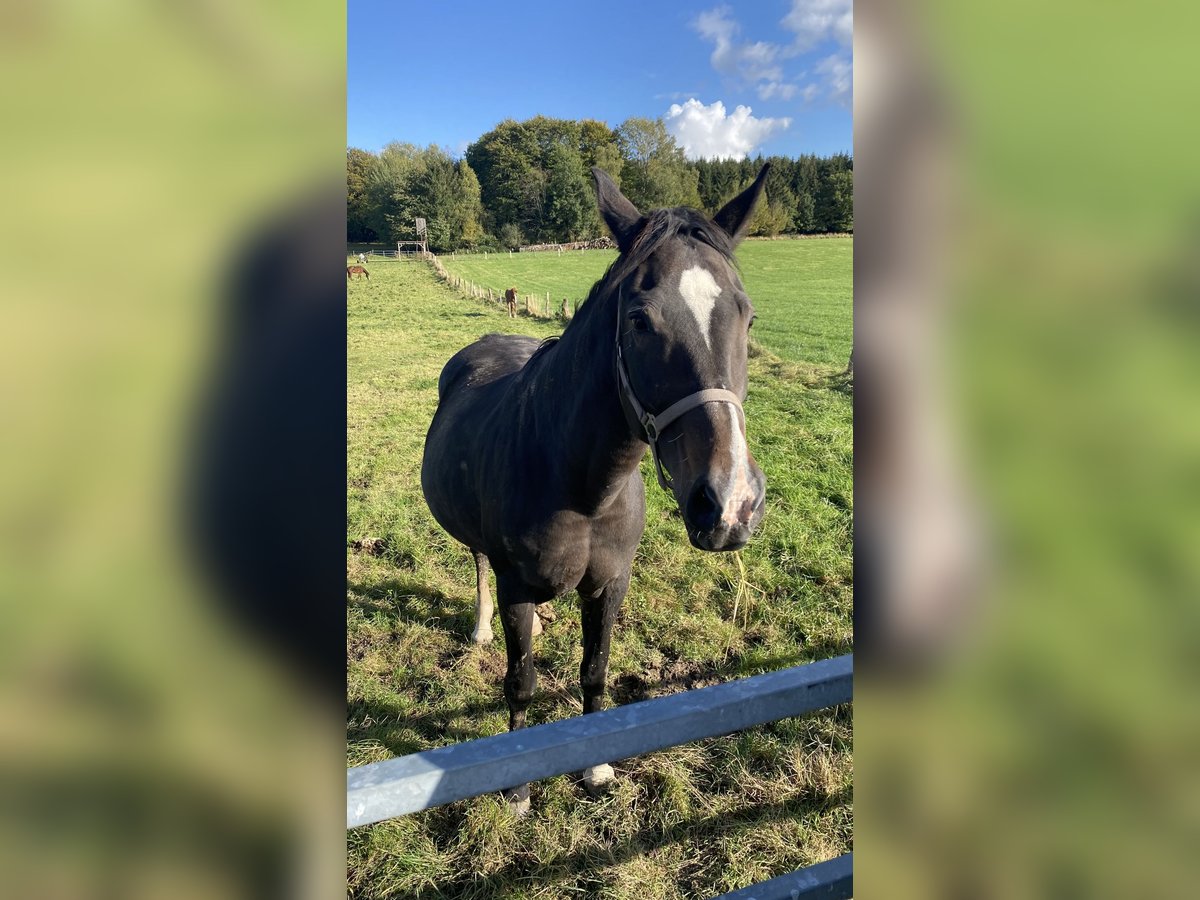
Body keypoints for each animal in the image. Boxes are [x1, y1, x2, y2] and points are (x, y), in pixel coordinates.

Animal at [420, 165, 768, 816]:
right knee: (477, 561)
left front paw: (596, 767)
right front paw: (518, 788)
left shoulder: (609, 584)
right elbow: (522, 682)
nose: (730, 503)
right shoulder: (517, 587)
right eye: (639, 320)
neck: (581, 489)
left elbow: (595, 671)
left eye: (747, 315)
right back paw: (480, 628)